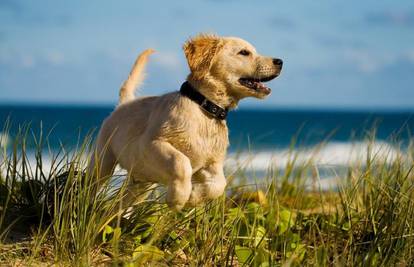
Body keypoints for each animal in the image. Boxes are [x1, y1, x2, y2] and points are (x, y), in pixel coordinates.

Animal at [89, 34, 284, 211]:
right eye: (244, 52)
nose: (280, 61)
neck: (205, 108)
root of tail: (124, 104)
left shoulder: (212, 162)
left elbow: (219, 184)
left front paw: (194, 197)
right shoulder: (151, 144)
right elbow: (181, 162)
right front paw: (177, 198)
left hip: (141, 184)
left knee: (118, 207)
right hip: (103, 161)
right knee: (90, 184)